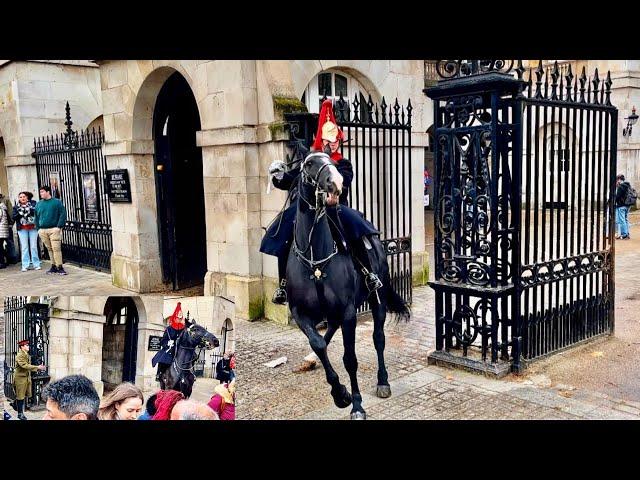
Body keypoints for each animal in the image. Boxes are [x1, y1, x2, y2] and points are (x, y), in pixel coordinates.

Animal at [286, 152, 410, 418]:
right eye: (309, 163)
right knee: (327, 335)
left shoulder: (348, 312)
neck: (316, 261)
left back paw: (383, 381)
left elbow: (350, 358)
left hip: (377, 298)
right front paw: (339, 393)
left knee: (378, 337)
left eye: (333, 162)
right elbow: (318, 343)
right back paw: (312, 359)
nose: (335, 183)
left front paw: (356, 403)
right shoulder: (300, 313)